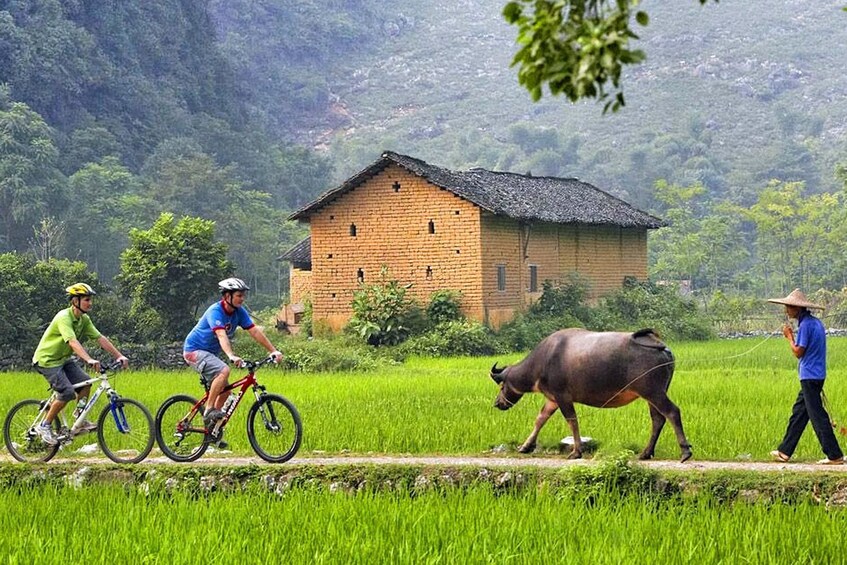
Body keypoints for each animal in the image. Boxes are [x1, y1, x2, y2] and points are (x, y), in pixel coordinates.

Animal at [494, 326, 692, 462]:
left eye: (502, 386)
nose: (497, 403)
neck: (543, 361)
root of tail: (662, 348)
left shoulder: (562, 396)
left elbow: (572, 421)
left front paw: (576, 452)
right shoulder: (552, 399)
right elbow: (540, 419)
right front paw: (525, 446)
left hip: (653, 392)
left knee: (672, 412)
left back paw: (685, 452)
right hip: (653, 394)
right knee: (658, 419)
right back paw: (645, 453)